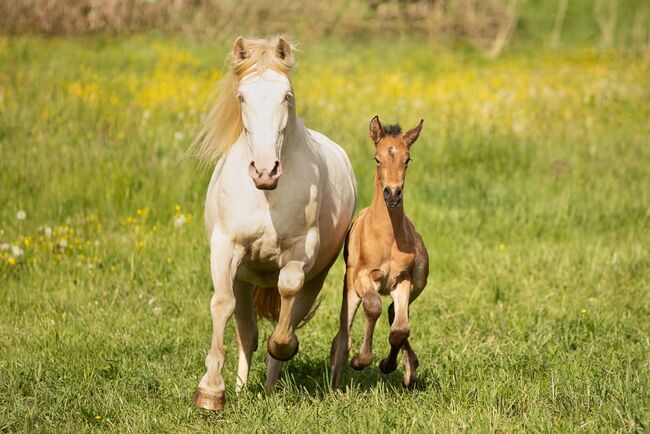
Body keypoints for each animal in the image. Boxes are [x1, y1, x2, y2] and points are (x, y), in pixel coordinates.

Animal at [189, 36, 354, 410]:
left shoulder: (301, 250)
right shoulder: (226, 248)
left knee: (289, 313)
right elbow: (222, 305)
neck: (266, 196)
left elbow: (287, 294)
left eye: (286, 95)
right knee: (247, 334)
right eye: (241, 97)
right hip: (243, 278)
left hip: (316, 277)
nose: (265, 171)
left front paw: (283, 346)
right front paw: (211, 392)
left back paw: (268, 386)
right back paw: (239, 389)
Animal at [330, 115, 430, 390]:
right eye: (377, 158)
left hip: (418, 282)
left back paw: (410, 369)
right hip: (350, 287)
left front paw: (388, 364)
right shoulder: (364, 276)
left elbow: (400, 328)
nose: (393, 194)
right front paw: (360, 361)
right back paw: (336, 378)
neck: (387, 238)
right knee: (344, 332)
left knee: (394, 312)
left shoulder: (402, 280)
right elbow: (373, 307)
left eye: (407, 159)